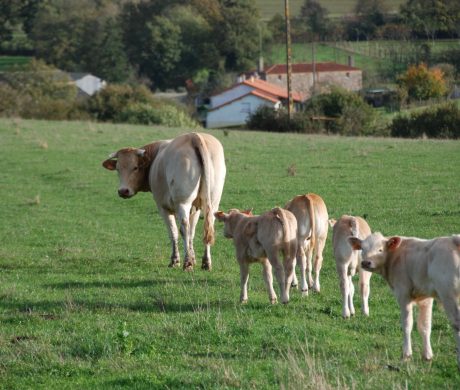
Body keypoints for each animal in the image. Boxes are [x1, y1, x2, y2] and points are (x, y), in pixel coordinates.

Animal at [103, 133, 227, 270]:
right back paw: (206, 262)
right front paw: (193, 258)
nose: (123, 191)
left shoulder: (163, 207)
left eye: (135, 167)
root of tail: (194, 136)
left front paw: (176, 260)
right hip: (213, 202)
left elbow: (173, 232)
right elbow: (192, 233)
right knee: (208, 226)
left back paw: (187, 263)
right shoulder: (195, 208)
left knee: (184, 228)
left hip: (182, 203)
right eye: (118, 169)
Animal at [348, 233, 460, 368]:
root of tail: (454, 239)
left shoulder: (403, 294)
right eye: (363, 249)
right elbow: (425, 326)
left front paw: (406, 355)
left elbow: (407, 324)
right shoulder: (426, 298)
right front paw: (427, 356)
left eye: (380, 249)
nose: (366, 262)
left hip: (449, 295)